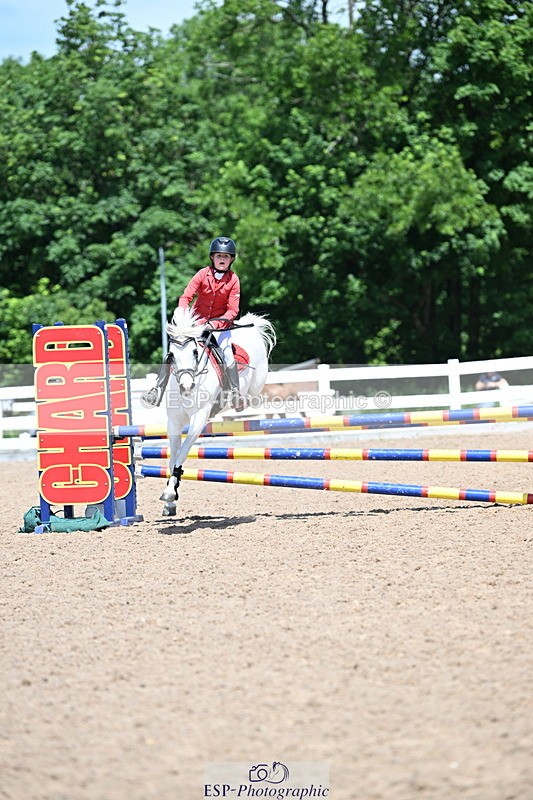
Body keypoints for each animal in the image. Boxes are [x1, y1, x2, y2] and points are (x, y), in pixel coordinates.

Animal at [158, 307, 276, 516]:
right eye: (171, 354)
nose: (187, 387)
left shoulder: (198, 419)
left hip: (257, 382)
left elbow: (182, 453)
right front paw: (170, 499)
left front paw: (170, 493)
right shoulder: (174, 422)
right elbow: (172, 457)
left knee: (254, 395)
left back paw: (241, 400)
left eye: (195, 352)